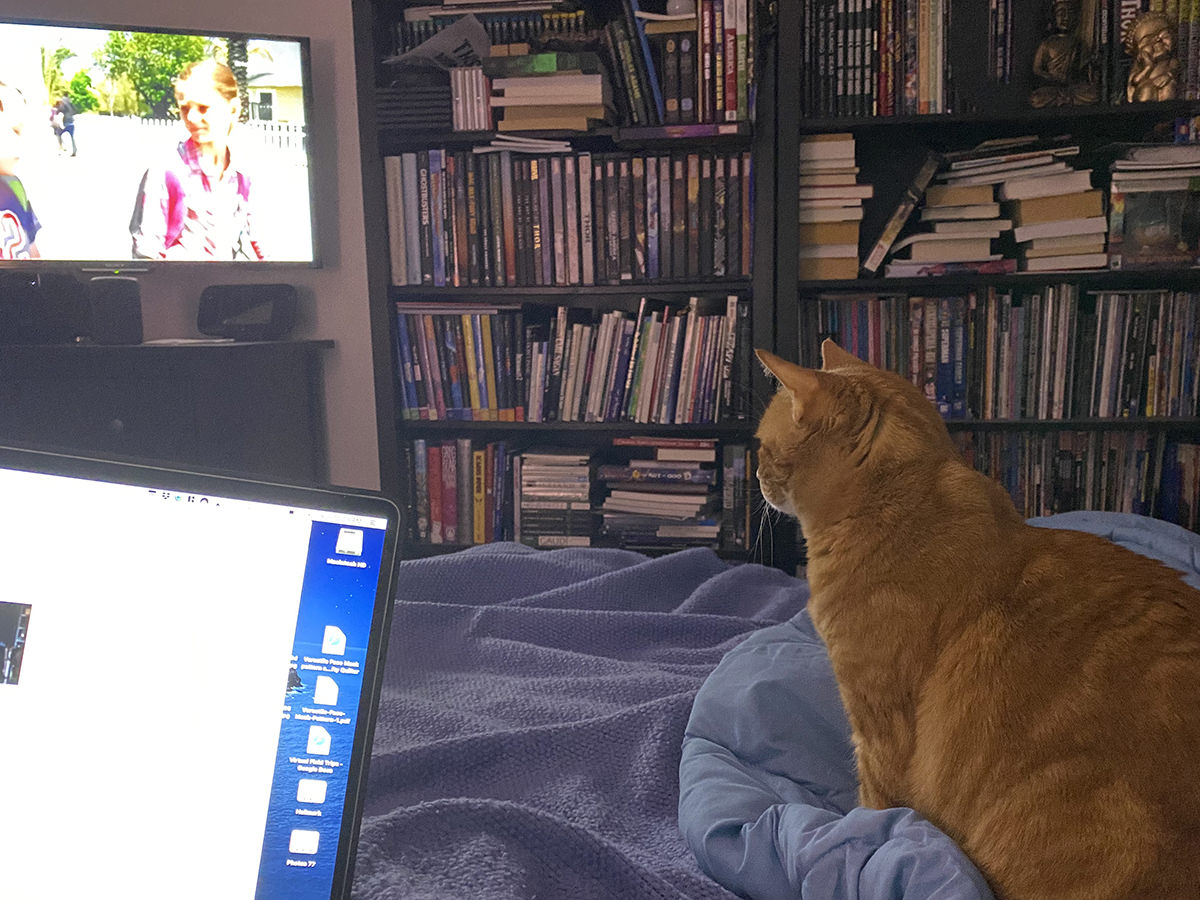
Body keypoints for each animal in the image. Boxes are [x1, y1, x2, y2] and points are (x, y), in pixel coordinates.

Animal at [753, 340, 1200, 900]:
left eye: (761, 447)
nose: (755, 476)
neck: (908, 508)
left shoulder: (878, 725)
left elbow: (875, 812)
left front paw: (853, 824)